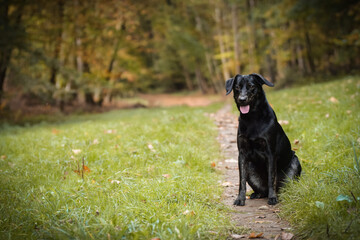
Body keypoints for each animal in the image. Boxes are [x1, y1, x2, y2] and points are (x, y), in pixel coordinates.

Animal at [228, 73, 300, 206]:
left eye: (251, 86)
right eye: (237, 87)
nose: (242, 99)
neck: (252, 118)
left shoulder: (270, 153)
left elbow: (271, 178)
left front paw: (272, 198)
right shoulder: (242, 155)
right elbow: (241, 181)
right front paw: (240, 199)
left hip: (295, 164)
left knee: (280, 186)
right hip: (250, 169)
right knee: (262, 190)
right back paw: (257, 194)